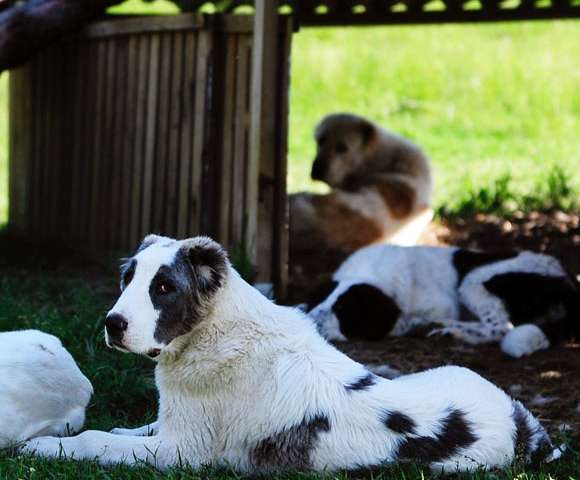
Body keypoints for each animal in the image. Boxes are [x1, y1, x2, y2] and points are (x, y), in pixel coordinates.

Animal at [306, 244, 576, 356]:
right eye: (319, 300)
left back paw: (452, 332)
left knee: (501, 327)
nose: (311, 323)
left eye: (344, 309)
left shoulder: (443, 305)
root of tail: (565, 280)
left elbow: (403, 320)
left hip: (474, 279)